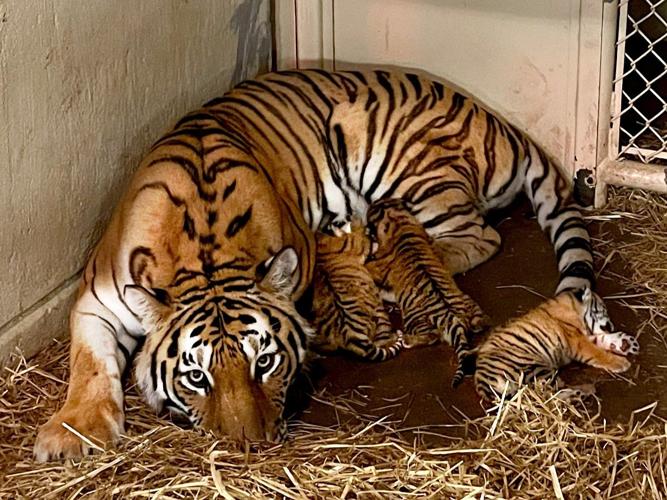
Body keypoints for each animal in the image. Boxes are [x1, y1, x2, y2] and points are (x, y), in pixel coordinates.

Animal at [365, 198, 486, 387]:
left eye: (373, 209)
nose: (373, 202)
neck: (396, 220)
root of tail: (453, 318)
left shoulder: (380, 264)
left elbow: (372, 266)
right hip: (467, 301)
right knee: (477, 323)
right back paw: (479, 323)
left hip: (413, 319)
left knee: (432, 336)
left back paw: (406, 340)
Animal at [474, 288, 640, 401]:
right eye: (603, 310)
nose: (611, 326)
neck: (573, 308)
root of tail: (481, 384)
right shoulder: (577, 340)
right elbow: (597, 352)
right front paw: (622, 363)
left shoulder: (583, 336)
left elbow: (601, 339)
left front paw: (624, 343)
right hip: (530, 365)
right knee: (552, 392)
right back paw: (587, 390)